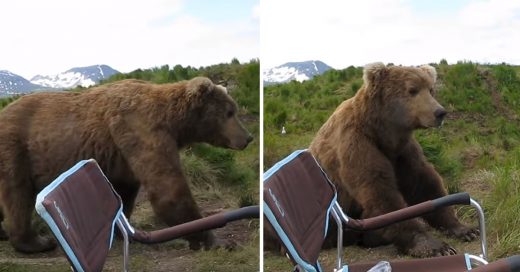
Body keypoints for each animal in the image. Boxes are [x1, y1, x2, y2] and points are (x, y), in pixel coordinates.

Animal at [0, 77, 253, 253]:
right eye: (230, 112)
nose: (248, 137)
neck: (174, 122)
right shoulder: (141, 129)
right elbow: (169, 191)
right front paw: (217, 241)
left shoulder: (122, 154)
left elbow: (126, 191)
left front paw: (122, 231)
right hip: (17, 148)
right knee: (18, 195)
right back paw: (34, 242)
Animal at [310, 63, 478, 258]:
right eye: (412, 90)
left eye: (431, 89)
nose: (440, 112)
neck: (380, 131)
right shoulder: (356, 144)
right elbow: (380, 192)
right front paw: (435, 246)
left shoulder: (402, 151)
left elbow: (424, 183)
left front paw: (465, 229)